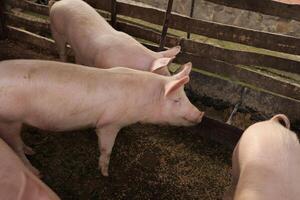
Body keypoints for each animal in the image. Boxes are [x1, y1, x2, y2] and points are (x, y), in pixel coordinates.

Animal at [0, 59, 204, 177]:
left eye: (184, 97)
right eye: (176, 100)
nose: (200, 114)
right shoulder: (110, 123)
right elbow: (107, 149)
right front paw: (105, 173)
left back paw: (32, 151)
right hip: (9, 120)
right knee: (15, 148)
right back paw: (36, 172)